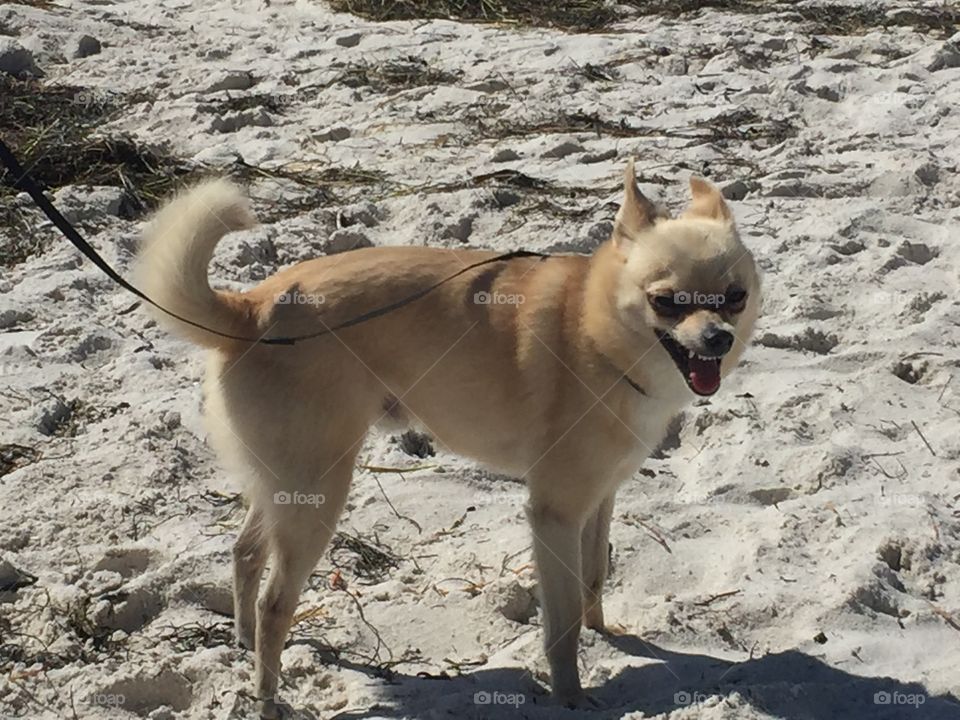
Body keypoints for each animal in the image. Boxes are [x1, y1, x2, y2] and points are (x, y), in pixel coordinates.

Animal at [135, 160, 760, 716]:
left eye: (735, 297)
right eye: (666, 301)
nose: (719, 339)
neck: (596, 326)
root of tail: (250, 309)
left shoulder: (599, 499)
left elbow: (593, 580)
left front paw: (606, 636)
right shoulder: (555, 515)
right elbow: (559, 624)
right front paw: (571, 694)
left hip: (287, 487)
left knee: (244, 552)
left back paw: (242, 644)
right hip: (319, 496)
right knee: (274, 603)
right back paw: (269, 697)